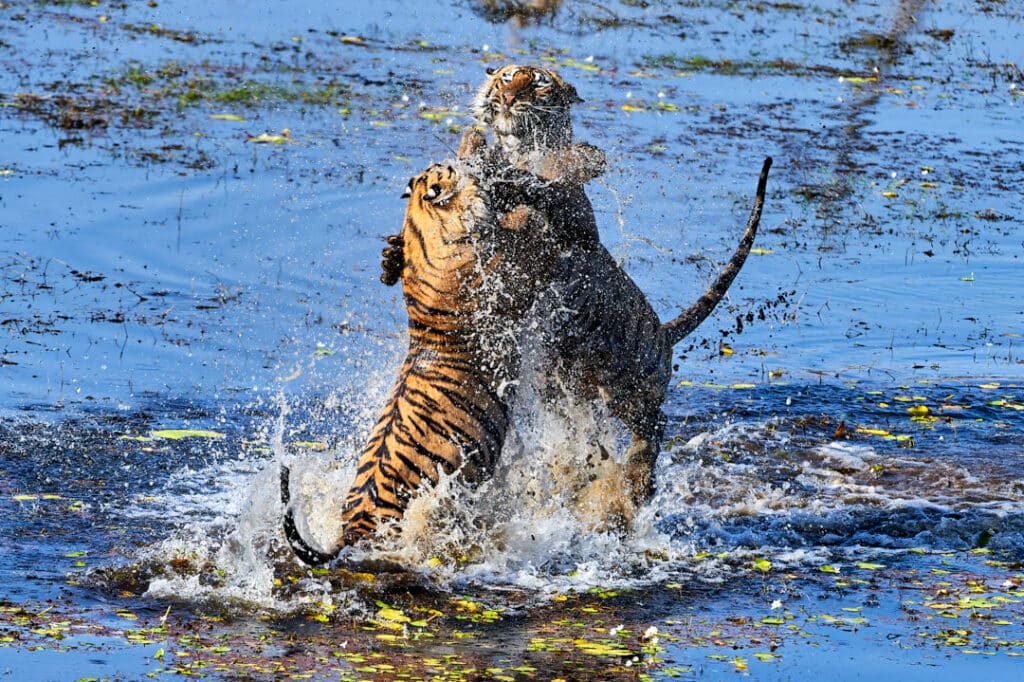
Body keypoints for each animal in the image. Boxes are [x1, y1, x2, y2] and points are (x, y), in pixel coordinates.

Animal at [381, 65, 771, 512]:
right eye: (508, 78)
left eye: (538, 83)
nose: (510, 98)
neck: (521, 148)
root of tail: (663, 333)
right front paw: (392, 256)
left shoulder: (575, 226)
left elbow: (548, 180)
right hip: (564, 381)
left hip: (631, 388)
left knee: (653, 429)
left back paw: (635, 481)